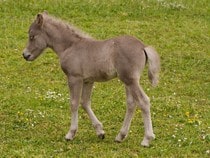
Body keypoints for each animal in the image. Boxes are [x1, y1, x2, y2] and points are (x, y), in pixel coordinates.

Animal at [23, 12, 160, 147]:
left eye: (32, 36)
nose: (25, 55)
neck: (70, 46)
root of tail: (143, 47)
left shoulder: (74, 78)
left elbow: (74, 103)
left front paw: (70, 134)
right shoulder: (88, 81)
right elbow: (85, 103)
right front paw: (100, 131)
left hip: (131, 80)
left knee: (143, 101)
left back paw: (147, 139)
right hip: (127, 81)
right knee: (131, 103)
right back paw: (120, 136)